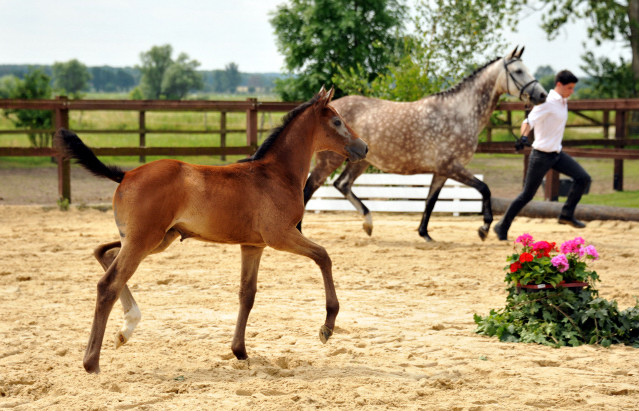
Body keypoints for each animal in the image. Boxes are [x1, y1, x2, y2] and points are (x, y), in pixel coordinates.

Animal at [57, 87, 368, 374]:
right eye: (337, 121)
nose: (363, 148)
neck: (275, 174)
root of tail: (126, 174)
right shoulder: (280, 236)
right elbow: (323, 256)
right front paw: (327, 327)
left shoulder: (253, 245)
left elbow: (247, 293)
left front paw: (240, 351)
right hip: (143, 241)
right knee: (107, 284)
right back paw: (92, 362)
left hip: (155, 239)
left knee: (103, 253)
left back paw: (126, 329)